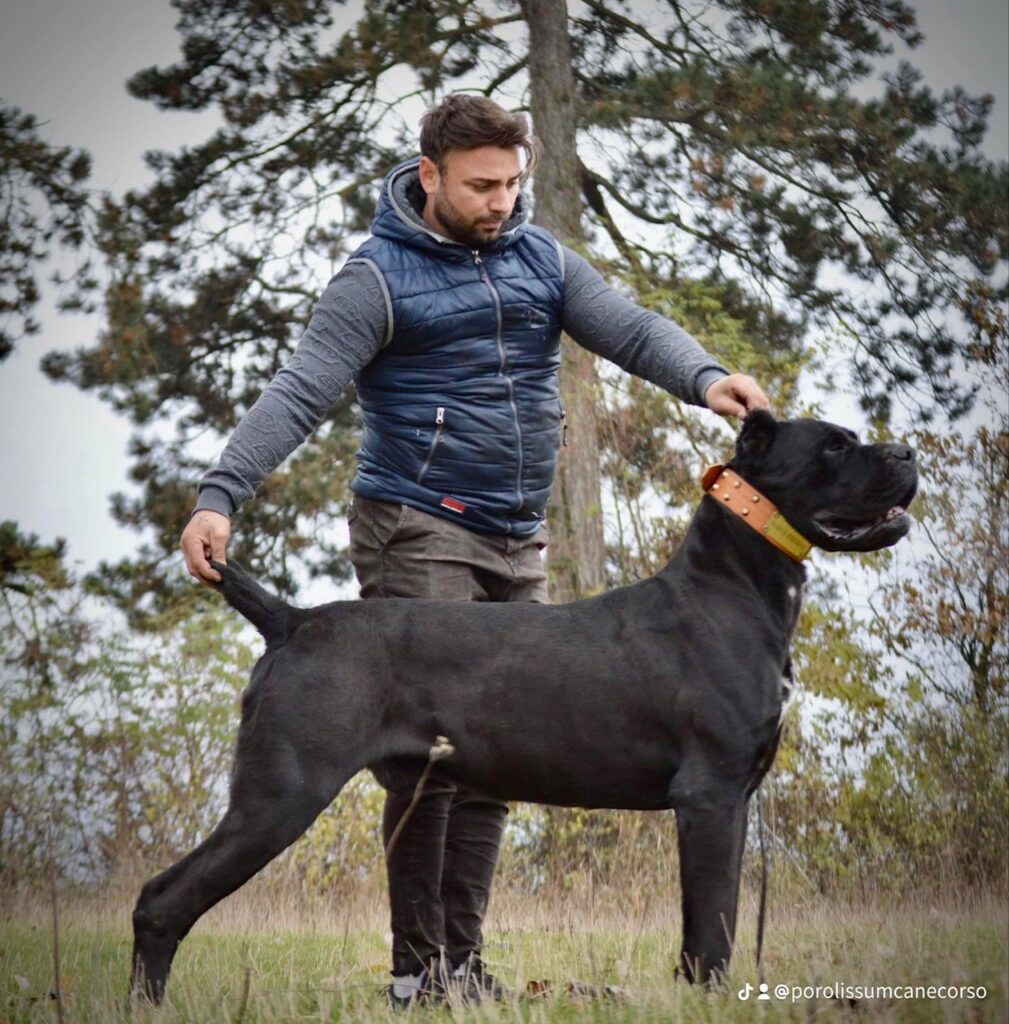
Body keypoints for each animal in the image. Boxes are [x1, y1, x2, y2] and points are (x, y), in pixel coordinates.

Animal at [130, 409, 917, 999]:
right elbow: (711, 924)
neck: (737, 586)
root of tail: (291, 620)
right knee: (161, 900)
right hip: (279, 794)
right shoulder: (710, 794)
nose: (907, 451)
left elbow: (714, 917)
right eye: (834, 445)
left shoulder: (735, 798)